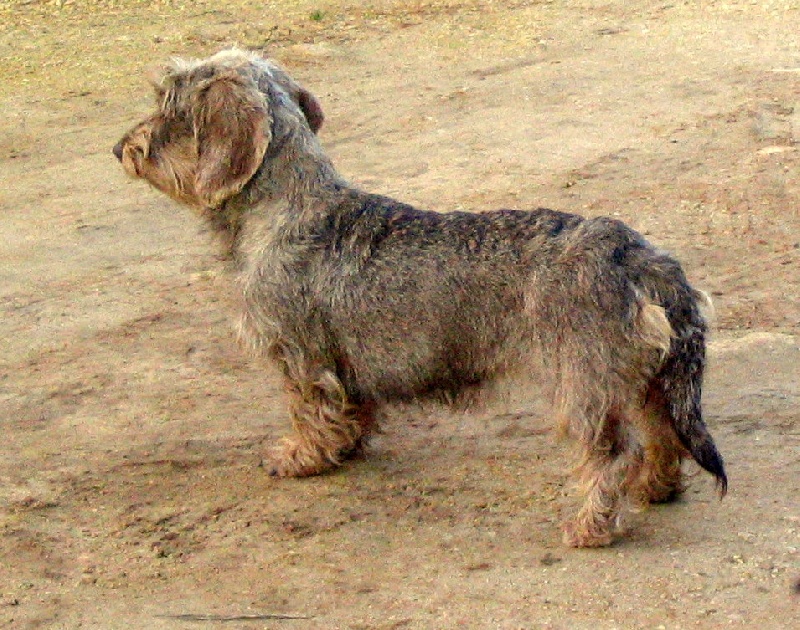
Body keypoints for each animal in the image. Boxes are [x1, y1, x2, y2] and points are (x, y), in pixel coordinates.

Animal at [112, 49, 724, 548]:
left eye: (167, 101)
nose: (120, 148)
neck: (286, 207)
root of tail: (635, 252)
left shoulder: (300, 357)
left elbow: (311, 413)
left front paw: (302, 458)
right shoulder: (343, 368)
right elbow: (352, 412)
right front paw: (344, 447)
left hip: (584, 386)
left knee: (614, 454)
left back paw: (591, 526)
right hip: (641, 380)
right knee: (663, 436)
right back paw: (654, 489)